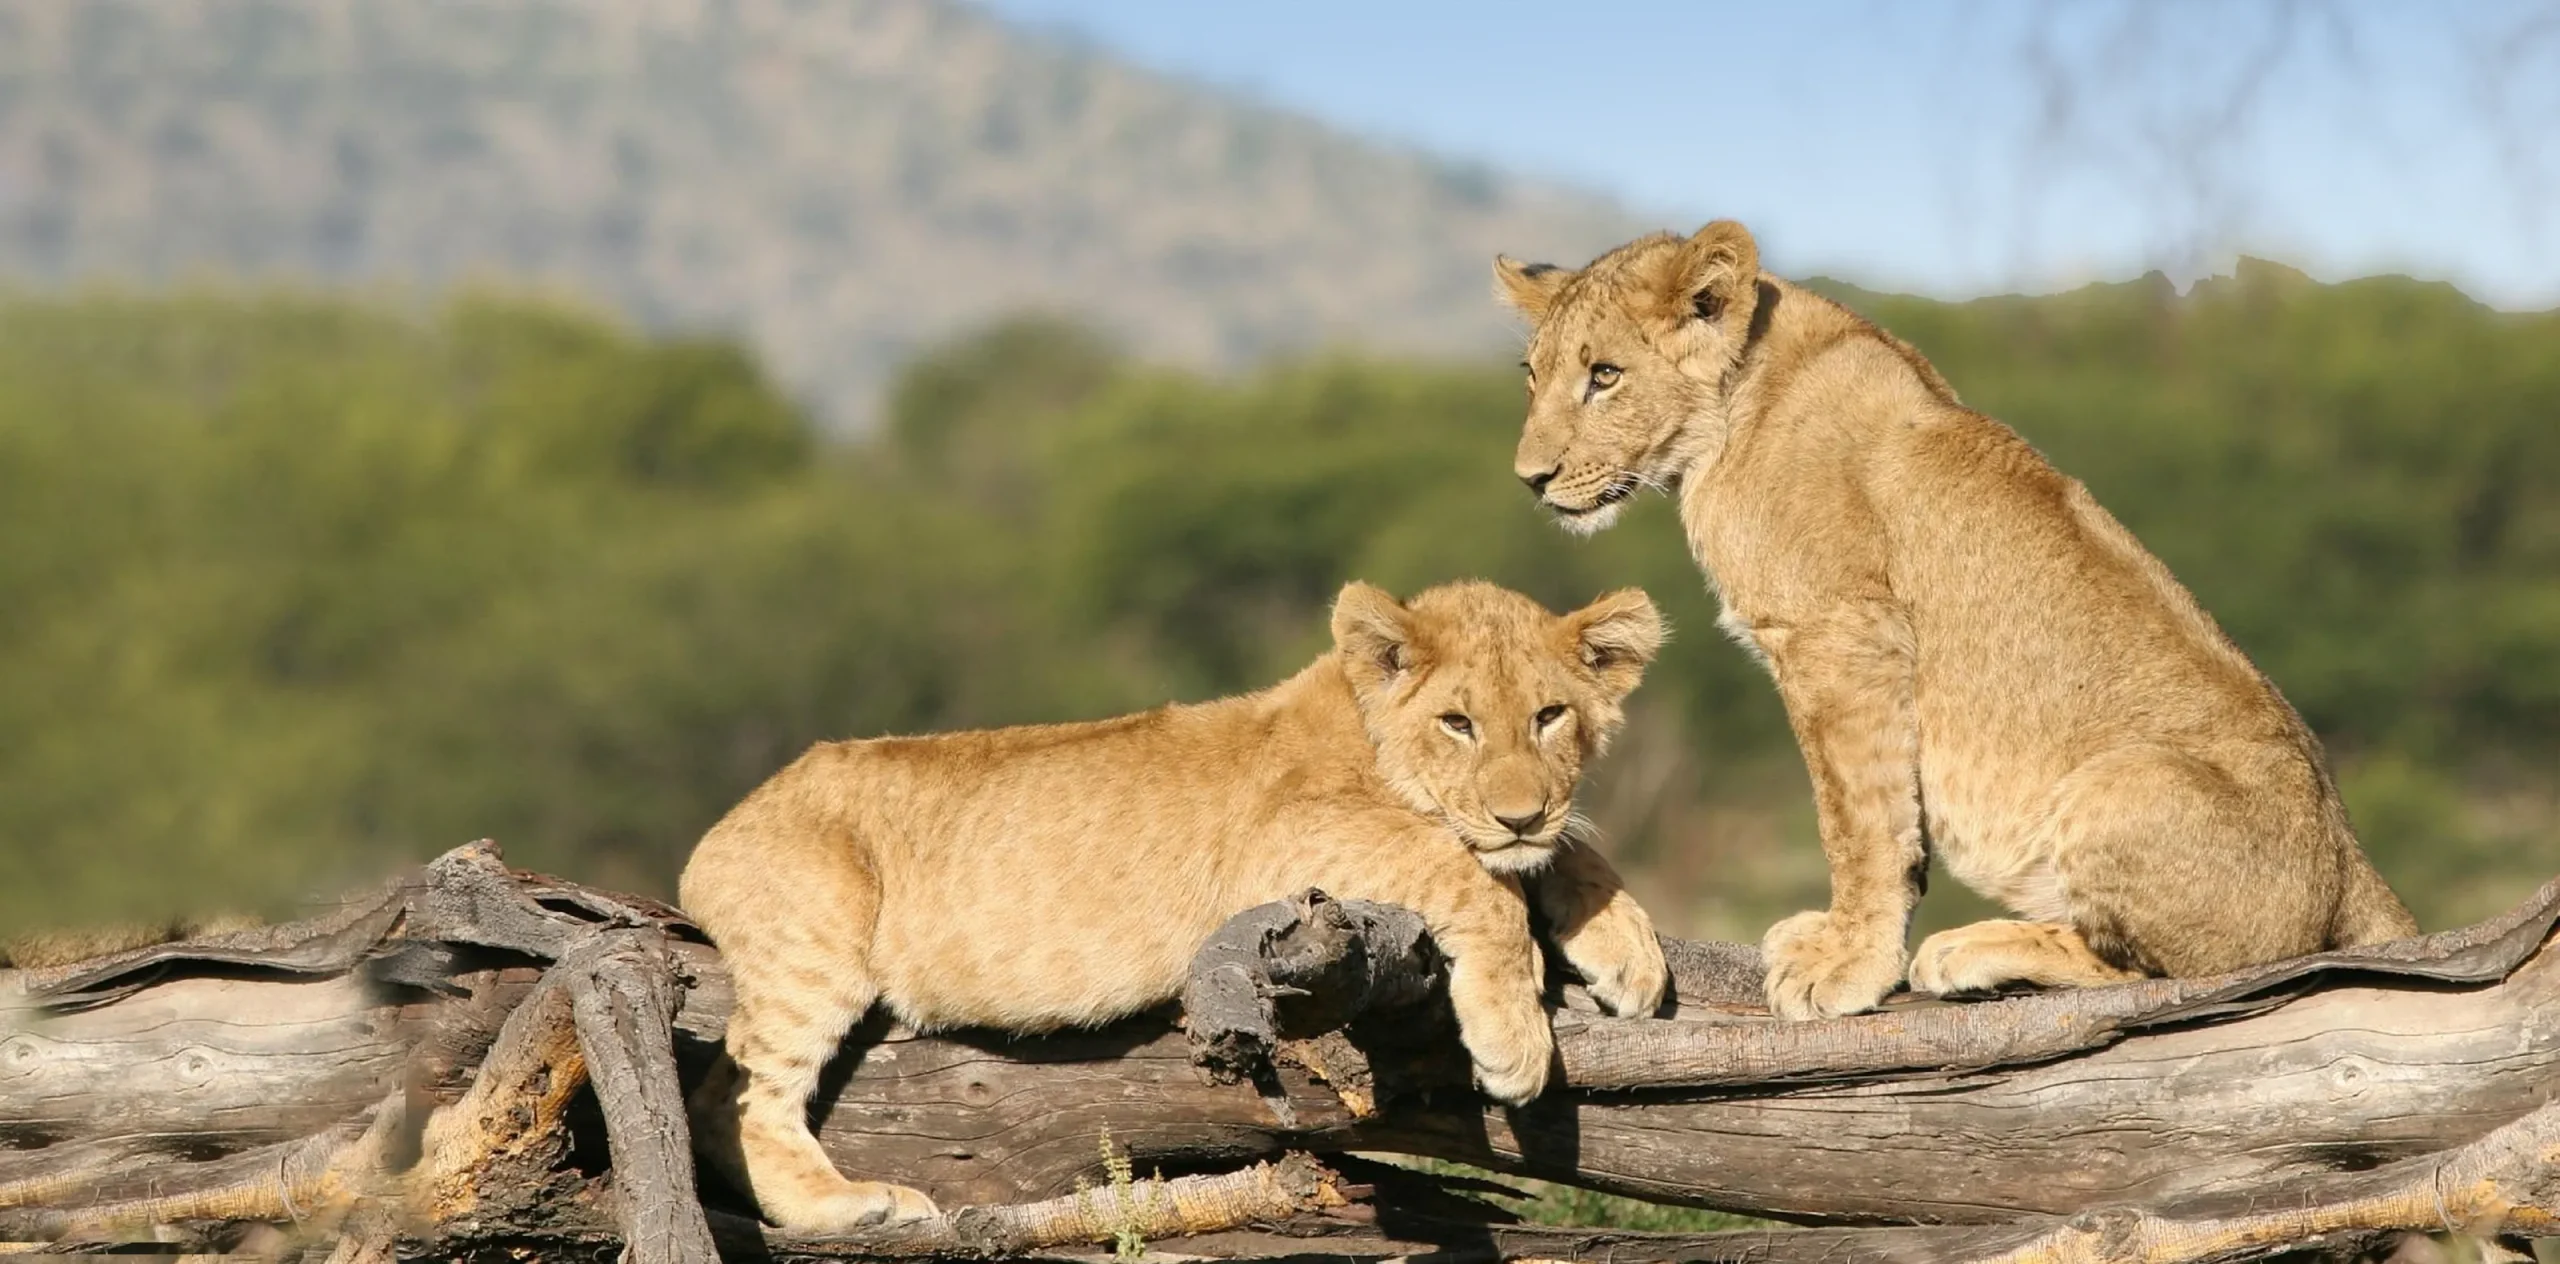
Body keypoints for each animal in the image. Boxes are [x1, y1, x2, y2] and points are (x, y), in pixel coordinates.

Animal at [678, 580, 1671, 1232]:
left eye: (1549, 716)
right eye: (1458, 723)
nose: (1519, 812)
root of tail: (722, 827)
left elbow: (1561, 851)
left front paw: (1629, 948)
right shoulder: (1281, 851)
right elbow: (1466, 870)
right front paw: (1515, 1041)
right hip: (814, 938)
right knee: (734, 1095)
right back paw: (851, 1208)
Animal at [1493, 221, 2417, 1022]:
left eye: (1605, 375)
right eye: (1533, 376)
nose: (1530, 479)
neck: (1734, 409)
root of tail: (2354, 869)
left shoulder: (1843, 638)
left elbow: (1857, 819)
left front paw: (1849, 963)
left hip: (2125, 782)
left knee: (2179, 971)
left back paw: (1974, 950)